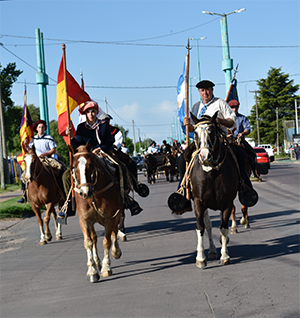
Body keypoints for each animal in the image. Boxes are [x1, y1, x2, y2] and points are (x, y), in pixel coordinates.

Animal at [70, 143, 122, 282]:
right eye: (73, 167)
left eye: (91, 165)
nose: (84, 192)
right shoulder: (84, 220)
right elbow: (88, 242)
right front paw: (92, 271)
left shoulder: (110, 218)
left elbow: (107, 241)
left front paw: (106, 268)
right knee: (94, 237)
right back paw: (97, 262)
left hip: (117, 216)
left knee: (114, 232)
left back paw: (116, 252)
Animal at [190, 113, 239, 268]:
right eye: (195, 133)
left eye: (212, 132)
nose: (204, 156)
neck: (211, 172)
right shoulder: (198, 202)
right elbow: (201, 227)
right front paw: (200, 258)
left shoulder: (227, 203)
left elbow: (223, 228)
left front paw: (225, 255)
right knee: (208, 225)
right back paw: (211, 251)